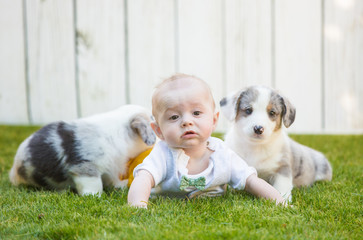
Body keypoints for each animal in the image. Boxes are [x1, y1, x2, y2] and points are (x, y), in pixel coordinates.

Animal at [9, 104, 156, 195]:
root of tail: (14, 169)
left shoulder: (111, 168)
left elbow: (112, 180)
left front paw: (122, 185)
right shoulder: (85, 166)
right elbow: (94, 185)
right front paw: (94, 197)